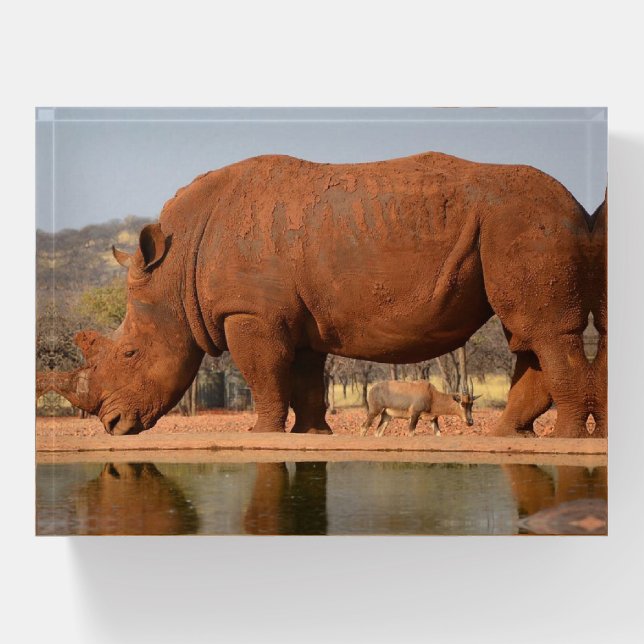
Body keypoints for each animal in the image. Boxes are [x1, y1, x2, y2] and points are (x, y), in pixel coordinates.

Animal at [43, 152, 606, 437]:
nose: (112, 425)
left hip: (528, 223)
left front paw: (263, 435)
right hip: (513, 227)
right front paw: (313, 436)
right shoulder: (296, 318)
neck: (176, 269)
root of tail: (579, 210)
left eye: (130, 353)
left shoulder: (250, 313)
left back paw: (564, 440)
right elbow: (305, 378)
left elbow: (264, 374)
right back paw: (508, 436)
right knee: (525, 335)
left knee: (544, 332)